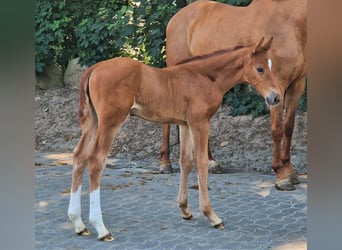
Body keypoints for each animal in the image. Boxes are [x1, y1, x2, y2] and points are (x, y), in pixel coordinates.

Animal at [68, 37, 280, 240]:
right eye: (260, 68)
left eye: (271, 65)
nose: (276, 97)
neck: (205, 77)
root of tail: (94, 69)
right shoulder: (200, 122)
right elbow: (201, 163)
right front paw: (212, 215)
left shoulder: (184, 124)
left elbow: (185, 161)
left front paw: (185, 209)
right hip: (110, 122)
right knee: (96, 160)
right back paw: (101, 229)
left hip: (93, 123)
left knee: (79, 156)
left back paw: (78, 224)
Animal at [160, 0, 308, 190]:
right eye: (260, 68)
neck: (291, 22)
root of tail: (175, 18)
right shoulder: (278, 87)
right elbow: (278, 129)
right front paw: (281, 174)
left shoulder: (297, 84)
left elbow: (289, 127)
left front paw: (289, 170)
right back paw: (165, 163)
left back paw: (211, 162)